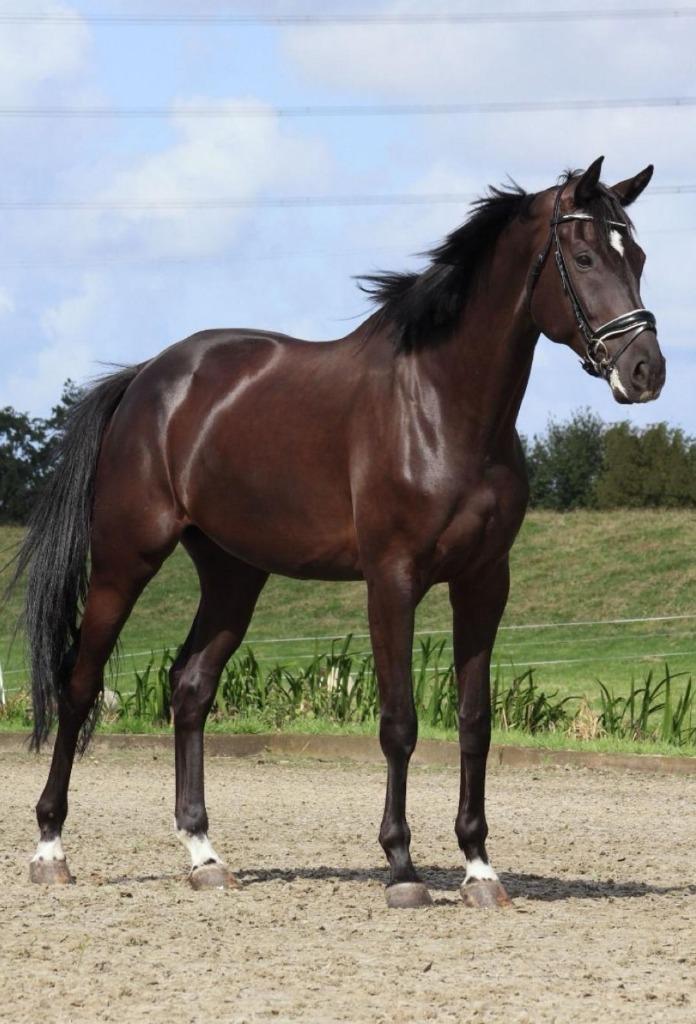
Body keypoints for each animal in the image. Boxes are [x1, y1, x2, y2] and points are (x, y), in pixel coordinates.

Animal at [15, 156, 665, 908]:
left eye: (637, 257)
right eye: (585, 257)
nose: (647, 370)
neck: (441, 407)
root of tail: (148, 378)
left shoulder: (484, 583)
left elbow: (474, 722)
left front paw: (479, 867)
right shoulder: (392, 580)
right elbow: (400, 722)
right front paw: (402, 868)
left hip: (234, 573)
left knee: (190, 687)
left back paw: (205, 855)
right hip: (127, 560)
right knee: (80, 684)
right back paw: (50, 849)